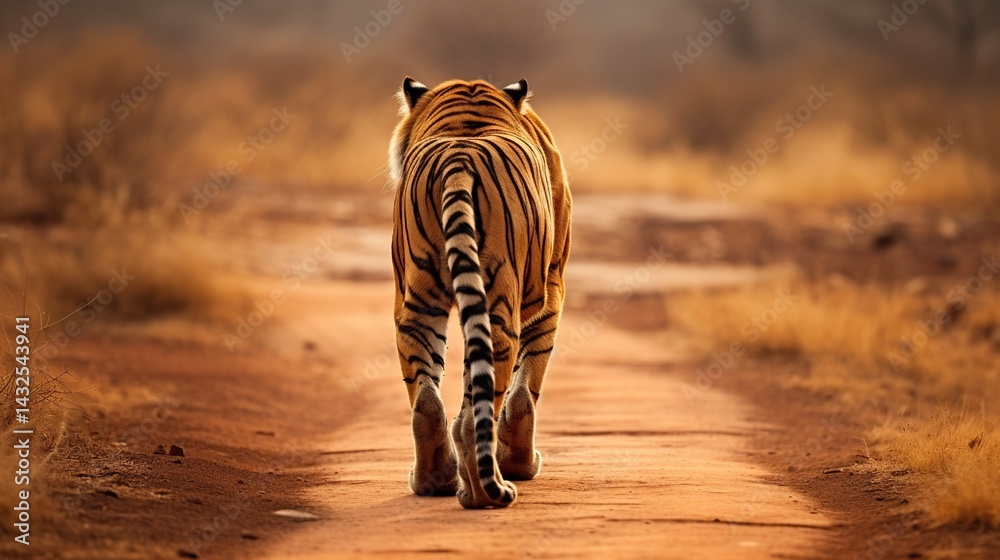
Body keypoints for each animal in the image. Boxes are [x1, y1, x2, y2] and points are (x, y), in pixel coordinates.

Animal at [388, 77, 572, 508]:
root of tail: (459, 157)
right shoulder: (551, 293)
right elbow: (524, 392)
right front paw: (522, 464)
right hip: (499, 303)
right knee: (477, 414)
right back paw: (484, 493)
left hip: (416, 306)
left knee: (426, 403)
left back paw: (433, 481)